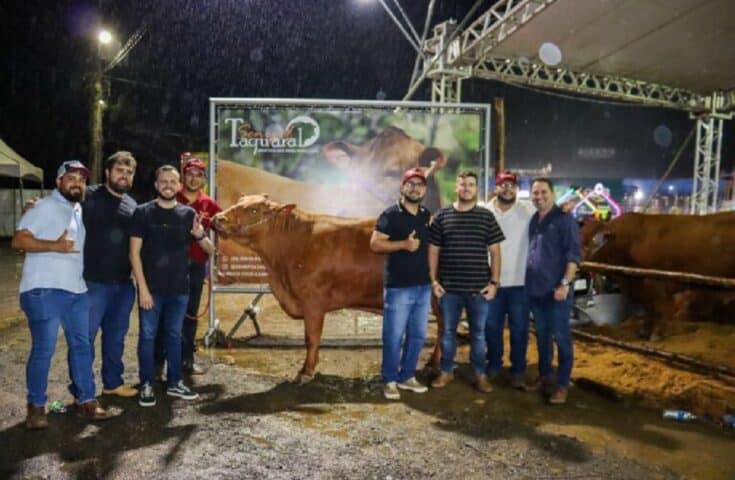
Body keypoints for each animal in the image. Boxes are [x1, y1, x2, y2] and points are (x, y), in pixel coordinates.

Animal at [580, 212, 735, 340]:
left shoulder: (657, 283)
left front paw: (656, 334)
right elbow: (649, 309)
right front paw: (644, 332)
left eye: (589, 242)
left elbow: (660, 308)